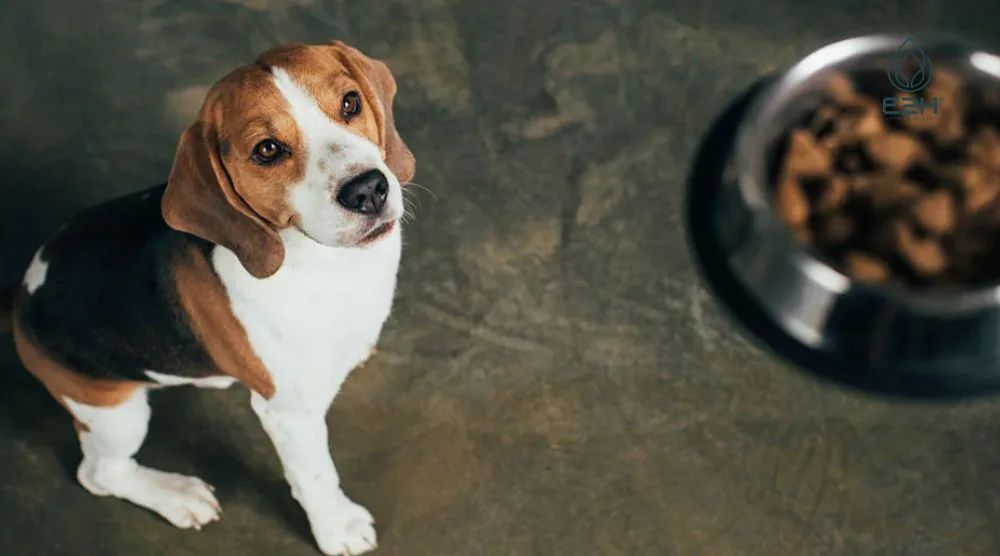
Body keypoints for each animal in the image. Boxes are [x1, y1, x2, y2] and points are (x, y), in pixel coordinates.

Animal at [0, 40, 416, 556]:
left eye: (350, 103)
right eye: (267, 150)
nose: (368, 190)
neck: (322, 266)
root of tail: (22, 291)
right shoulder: (289, 415)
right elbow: (316, 476)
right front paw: (337, 528)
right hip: (114, 411)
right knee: (99, 474)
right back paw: (176, 495)